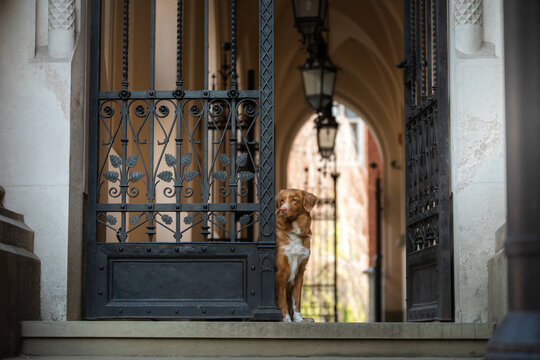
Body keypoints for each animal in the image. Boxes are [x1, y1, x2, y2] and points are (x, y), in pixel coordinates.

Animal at [274, 190, 316, 322]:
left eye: (294, 199)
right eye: (282, 200)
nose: (282, 209)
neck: (294, 232)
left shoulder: (300, 272)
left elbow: (297, 299)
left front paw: (298, 319)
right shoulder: (280, 272)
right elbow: (282, 298)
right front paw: (286, 318)